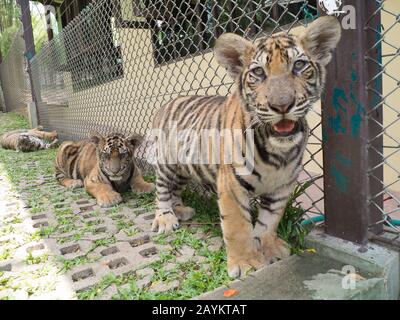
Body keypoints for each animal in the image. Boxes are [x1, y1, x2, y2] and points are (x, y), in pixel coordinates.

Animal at [150, 16, 340, 278]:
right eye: (258, 72)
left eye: (299, 65)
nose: (282, 105)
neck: (277, 151)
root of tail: (169, 102)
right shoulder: (231, 183)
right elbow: (237, 225)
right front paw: (245, 263)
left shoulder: (282, 186)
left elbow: (269, 222)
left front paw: (267, 248)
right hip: (167, 163)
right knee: (161, 190)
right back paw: (166, 219)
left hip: (184, 169)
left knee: (175, 189)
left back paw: (181, 210)